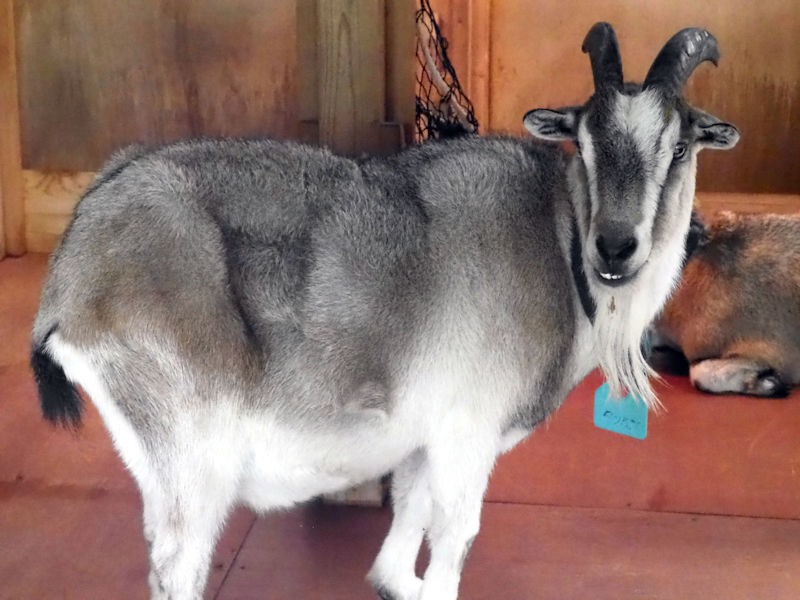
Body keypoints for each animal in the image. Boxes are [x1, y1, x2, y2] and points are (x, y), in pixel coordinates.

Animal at [32, 22, 736, 600]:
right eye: (584, 142)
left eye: (678, 147)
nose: (615, 246)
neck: (558, 243)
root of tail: (71, 276)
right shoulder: (467, 431)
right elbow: (455, 534)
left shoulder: (426, 434)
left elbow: (410, 511)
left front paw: (394, 580)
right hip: (191, 449)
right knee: (178, 564)